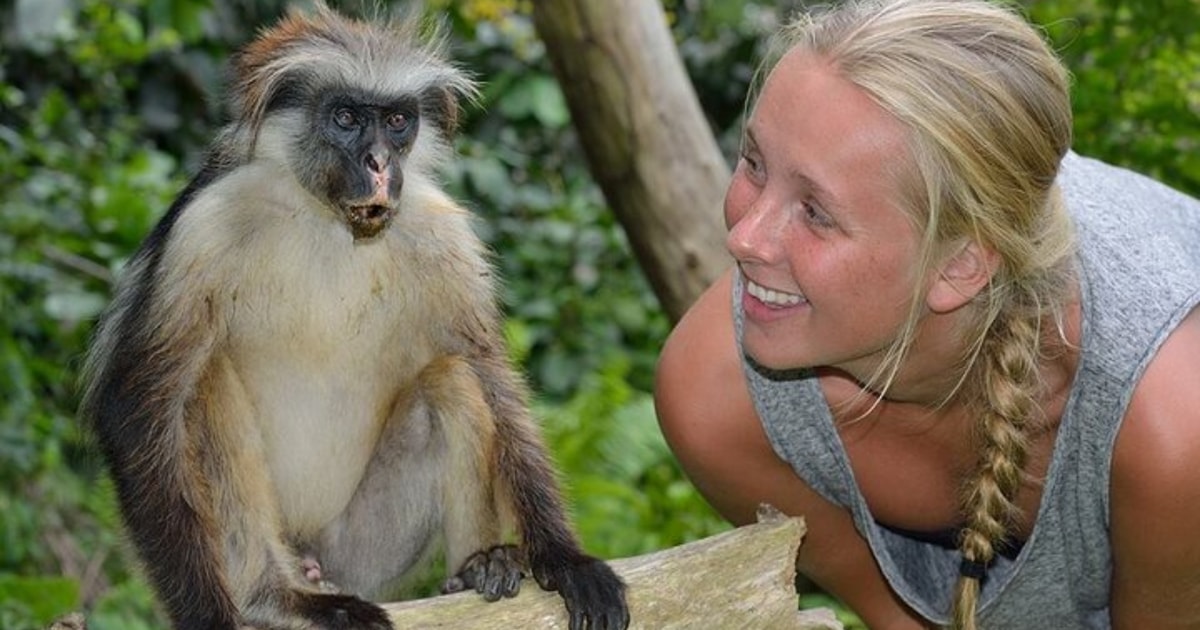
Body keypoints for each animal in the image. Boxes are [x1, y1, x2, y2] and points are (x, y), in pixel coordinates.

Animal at [79, 5, 629, 630]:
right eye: (345, 117)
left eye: (396, 121)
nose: (380, 163)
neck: (329, 220)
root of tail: (312, 555)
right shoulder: (204, 226)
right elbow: (136, 409)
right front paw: (208, 616)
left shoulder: (441, 233)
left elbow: (492, 379)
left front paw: (564, 558)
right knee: (204, 384)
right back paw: (275, 595)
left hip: (363, 550)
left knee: (452, 379)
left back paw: (478, 567)